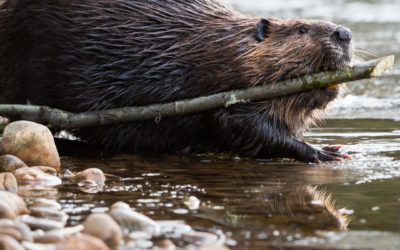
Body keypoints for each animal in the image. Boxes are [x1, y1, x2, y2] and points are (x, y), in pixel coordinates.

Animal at [0, 0, 352, 162]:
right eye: (302, 29)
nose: (345, 33)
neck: (226, 48)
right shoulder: (222, 89)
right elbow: (240, 127)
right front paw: (324, 153)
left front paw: (330, 146)